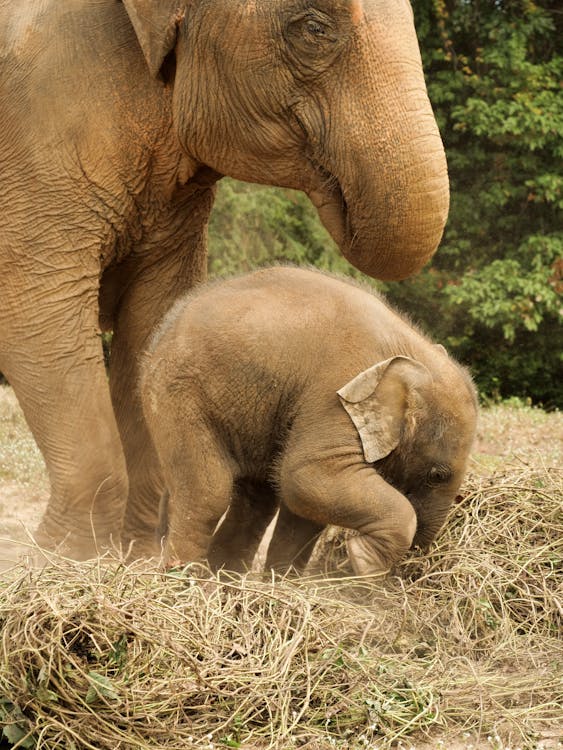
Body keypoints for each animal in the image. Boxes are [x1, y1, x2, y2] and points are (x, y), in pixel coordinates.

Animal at [0, 0, 450, 560]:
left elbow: (153, 318)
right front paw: (65, 562)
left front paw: (134, 559)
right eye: (315, 28)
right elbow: (36, 310)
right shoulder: (38, 124)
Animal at [140, 268, 476, 580]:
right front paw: (363, 561)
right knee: (209, 491)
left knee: (257, 502)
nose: (411, 569)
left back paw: (228, 582)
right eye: (437, 475)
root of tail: (160, 336)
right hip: (179, 392)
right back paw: (187, 582)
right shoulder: (333, 394)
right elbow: (305, 475)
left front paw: (284, 583)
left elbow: (304, 506)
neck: (410, 350)